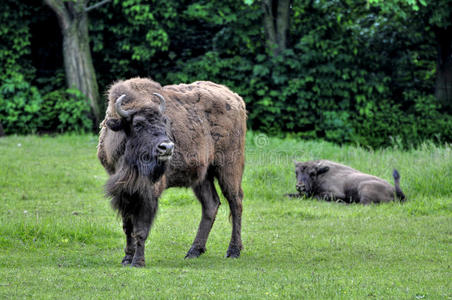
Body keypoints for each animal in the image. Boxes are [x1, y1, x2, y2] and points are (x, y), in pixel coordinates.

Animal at [97, 78, 247, 268]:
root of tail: (235, 99)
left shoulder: (149, 192)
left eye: (165, 122)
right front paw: (126, 259)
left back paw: (233, 251)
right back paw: (194, 251)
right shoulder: (124, 190)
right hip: (202, 177)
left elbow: (140, 229)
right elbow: (127, 226)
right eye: (138, 124)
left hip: (228, 168)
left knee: (236, 203)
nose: (167, 147)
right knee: (211, 204)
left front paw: (138, 262)